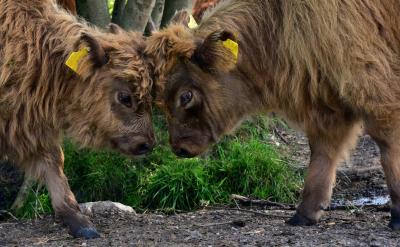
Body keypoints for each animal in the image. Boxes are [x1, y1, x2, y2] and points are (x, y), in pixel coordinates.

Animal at [146, 0, 400, 230]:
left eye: (186, 96)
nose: (179, 147)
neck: (278, 22)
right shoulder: (327, 104)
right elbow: (321, 154)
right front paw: (304, 214)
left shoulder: (373, 87)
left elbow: (389, 150)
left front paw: (397, 217)